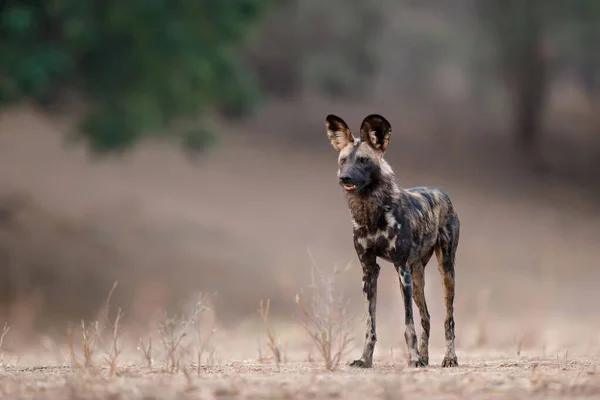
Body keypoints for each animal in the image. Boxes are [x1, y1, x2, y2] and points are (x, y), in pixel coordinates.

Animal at [326, 112, 458, 368]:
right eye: (343, 160)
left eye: (363, 160)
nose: (344, 177)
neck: (371, 214)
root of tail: (440, 191)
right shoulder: (369, 271)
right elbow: (370, 325)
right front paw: (365, 360)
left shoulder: (400, 268)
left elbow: (408, 325)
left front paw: (413, 358)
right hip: (417, 277)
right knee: (426, 317)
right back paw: (425, 358)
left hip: (445, 270)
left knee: (448, 319)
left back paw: (448, 358)